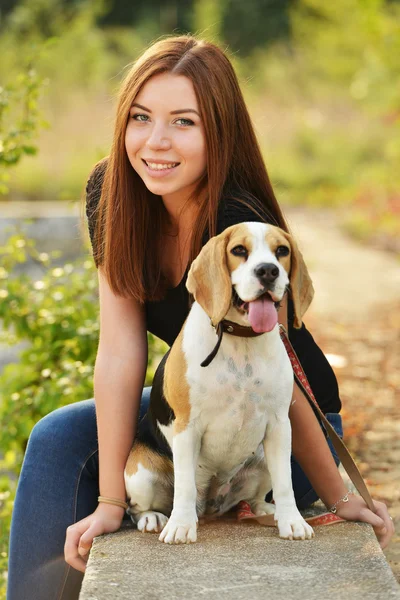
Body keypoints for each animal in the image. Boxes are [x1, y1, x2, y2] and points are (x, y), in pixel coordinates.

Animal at [125, 220, 316, 544]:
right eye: (238, 250)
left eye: (282, 251)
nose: (268, 271)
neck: (239, 337)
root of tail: (210, 507)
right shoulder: (187, 426)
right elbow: (185, 485)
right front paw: (181, 526)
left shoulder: (279, 424)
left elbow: (285, 484)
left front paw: (291, 521)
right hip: (140, 475)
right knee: (139, 508)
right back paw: (156, 518)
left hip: (262, 458)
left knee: (253, 497)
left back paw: (266, 510)